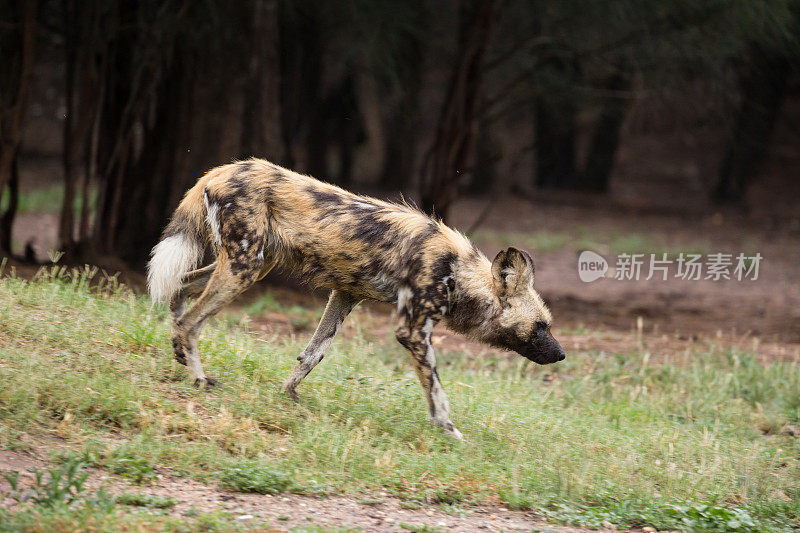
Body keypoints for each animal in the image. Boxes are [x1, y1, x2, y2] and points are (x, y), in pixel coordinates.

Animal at [148, 159, 564, 440]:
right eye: (541, 326)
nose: (561, 355)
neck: (458, 270)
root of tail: (220, 170)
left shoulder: (345, 295)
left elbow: (313, 354)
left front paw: (289, 395)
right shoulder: (413, 332)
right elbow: (437, 392)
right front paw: (449, 431)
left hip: (251, 265)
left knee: (181, 289)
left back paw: (177, 352)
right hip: (243, 268)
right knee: (192, 320)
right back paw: (198, 378)